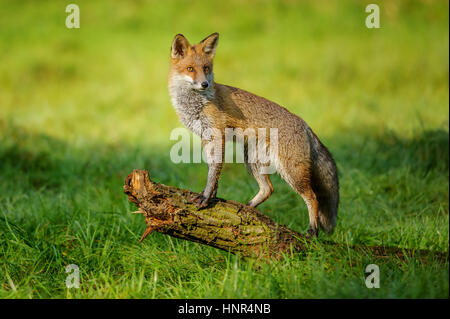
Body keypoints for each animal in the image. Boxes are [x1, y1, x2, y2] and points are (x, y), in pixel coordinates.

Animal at [168, 33, 338, 238]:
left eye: (206, 68)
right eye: (190, 69)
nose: (204, 84)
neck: (196, 104)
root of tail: (304, 123)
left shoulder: (217, 133)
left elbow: (214, 171)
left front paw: (206, 196)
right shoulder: (206, 137)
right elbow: (213, 170)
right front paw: (211, 196)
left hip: (291, 171)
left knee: (313, 198)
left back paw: (312, 231)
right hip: (252, 160)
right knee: (268, 189)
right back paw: (246, 208)